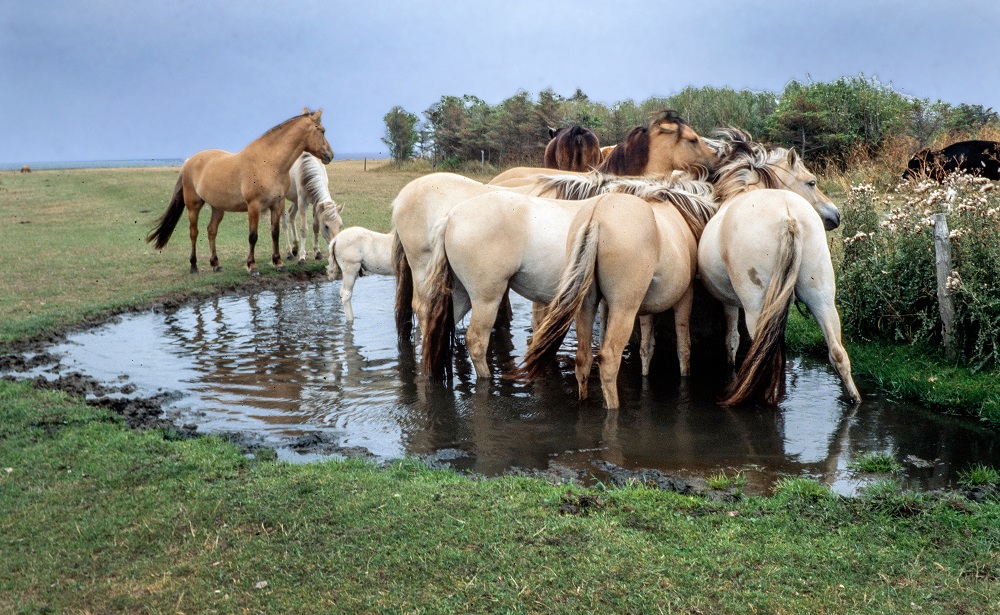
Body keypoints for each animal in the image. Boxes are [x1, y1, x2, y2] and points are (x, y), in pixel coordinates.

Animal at [146, 108, 334, 275]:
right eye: (322, 131)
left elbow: (275, 233)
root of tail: (188, 162)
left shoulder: (277, 204)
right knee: (194, 233)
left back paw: (216, 264)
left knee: (211, 231)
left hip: (218, 208)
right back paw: (193, 266)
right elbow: (253, 236)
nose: (330, 155)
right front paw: (252, 266)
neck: (268, 163)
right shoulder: (254, 206)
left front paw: (278, 262)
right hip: (194, 206)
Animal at [514, 182, 717, 410]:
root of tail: (596, 217)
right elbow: (684, 348)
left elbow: (647, 347)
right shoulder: (685, 296)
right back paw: (613, 406)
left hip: (586, 305)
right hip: (623, 309)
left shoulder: (645, 309)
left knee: (583, 359)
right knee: (609, 359)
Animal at [698, 129, 860, 406]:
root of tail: (788, 215)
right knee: (837, 353)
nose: (836, 215)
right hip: (822, 298)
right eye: (811, 183)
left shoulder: (730, 303)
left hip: (756, 309)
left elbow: (731, 342)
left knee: (765, 358)